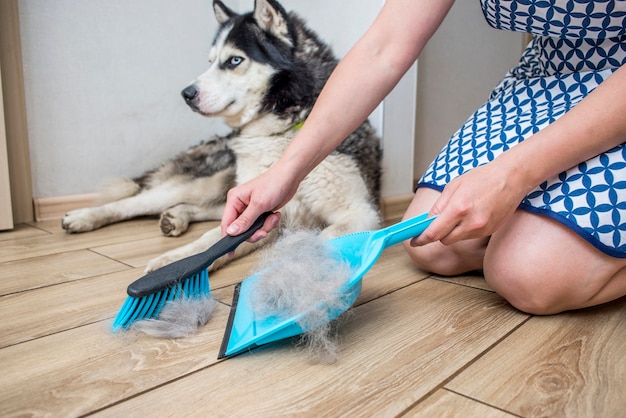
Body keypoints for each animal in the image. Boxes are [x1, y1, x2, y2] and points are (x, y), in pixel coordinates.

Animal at [61, 0, 380, 272]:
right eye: (211, 61)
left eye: (234, 61)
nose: (186, 94)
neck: (283, 134)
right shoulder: (262, 206)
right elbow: (211, 241)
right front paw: (174, 265)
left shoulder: (360, 214)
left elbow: (322, 239)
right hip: (209, 182)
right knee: (134, 202)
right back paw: (83, 217)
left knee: (202, 208)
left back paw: (176, 217)